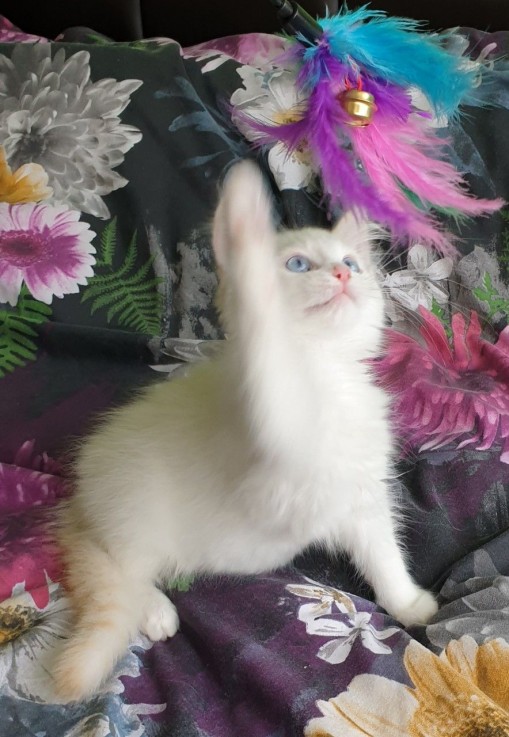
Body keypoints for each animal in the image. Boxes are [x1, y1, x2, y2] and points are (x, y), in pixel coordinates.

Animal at [53, 161, 438, 700]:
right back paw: (153, 610)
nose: (343, 274)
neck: (324, 375)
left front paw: (406, 603)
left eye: (350, 263)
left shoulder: (362, 497)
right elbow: (265, 337)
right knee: (122, 571)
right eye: (298, 265)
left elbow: (384, 556)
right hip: (138, 509)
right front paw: (247, 222)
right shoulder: (268, 417)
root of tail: (81, 498)